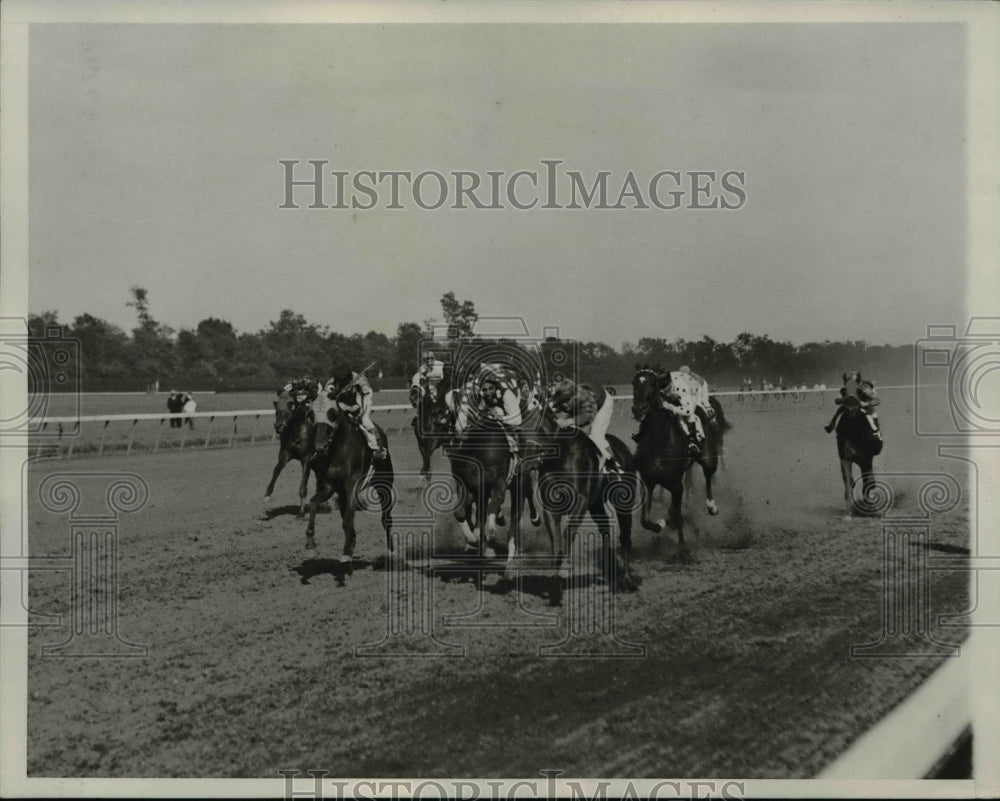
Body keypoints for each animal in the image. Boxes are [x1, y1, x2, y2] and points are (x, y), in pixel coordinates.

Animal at [628, 368, 732, 556]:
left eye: (652, 384)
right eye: (634, 383)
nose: (638, 409)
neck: (659, 443)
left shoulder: (677, 485)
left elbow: (678, 516)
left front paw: (683, 547)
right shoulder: (648, 481)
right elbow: (645, 520)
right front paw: (661, 524)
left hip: (709, 458)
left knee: (709, 476)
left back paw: (711, 506)